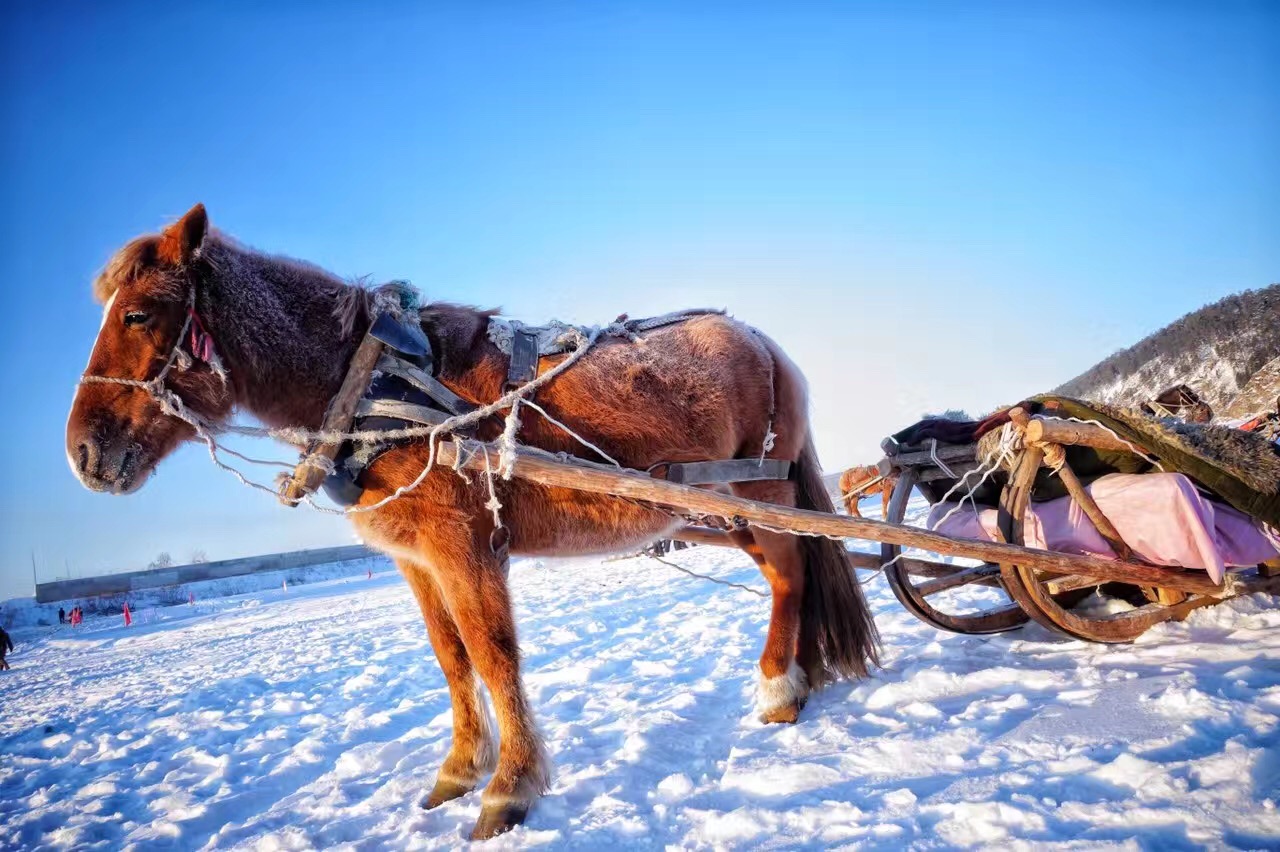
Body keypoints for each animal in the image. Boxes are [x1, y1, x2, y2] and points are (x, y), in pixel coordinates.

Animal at [64, 204, 875, 834]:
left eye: (138, 314)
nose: (82, 452)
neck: (371, 379)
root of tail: (763, 342)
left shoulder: (466, 547)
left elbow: (494, 656)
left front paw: (510, 788)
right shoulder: (416, 559)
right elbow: (452, 660)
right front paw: (459, 769)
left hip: (760, 494)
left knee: (790, 572)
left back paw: (779, 687)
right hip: (724, 510)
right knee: (789, 573)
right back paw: (799, 673)